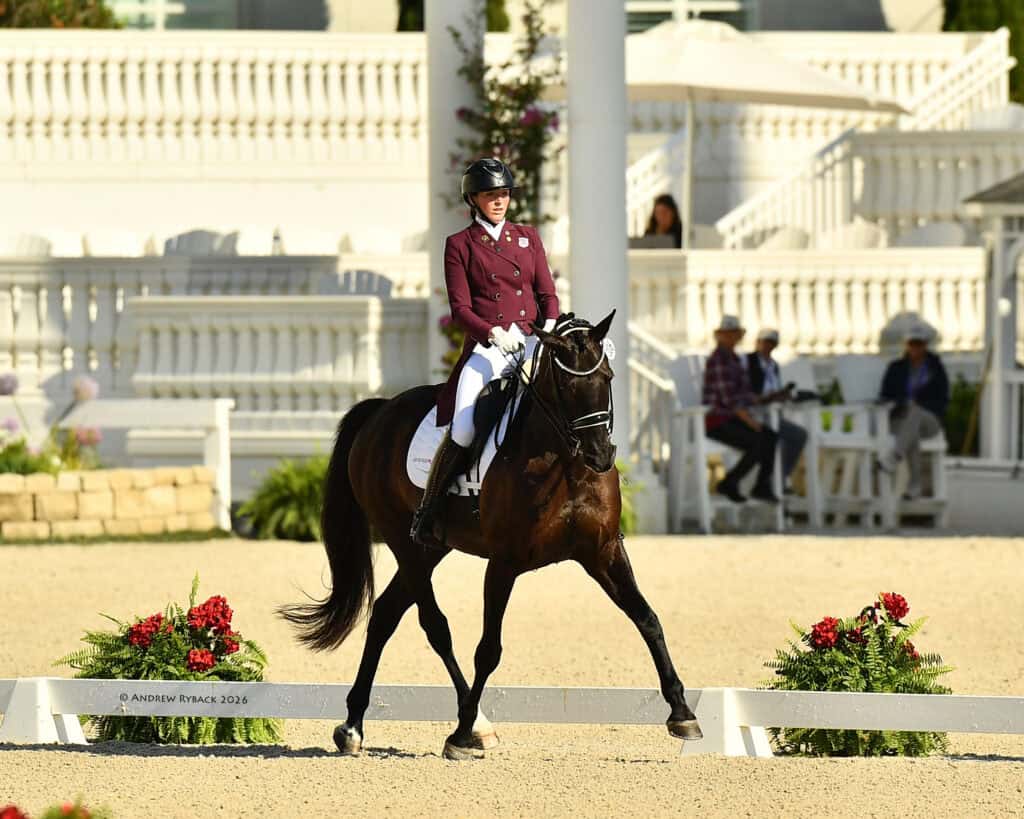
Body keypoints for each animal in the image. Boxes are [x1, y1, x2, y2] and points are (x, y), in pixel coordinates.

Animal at [280, 311, 702, 759]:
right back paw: (473, 723)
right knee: (434, 625)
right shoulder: (504, 563)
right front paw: (461, 734)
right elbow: (488, 649)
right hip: (401, 539)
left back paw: (353, 726)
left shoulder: (602, 551)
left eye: (607, 377)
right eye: (567, 386)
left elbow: (647, 618)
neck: (564, 465)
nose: (601, 455)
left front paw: (682, 713)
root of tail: (380, 411)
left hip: (430, 548)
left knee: (385, 614)